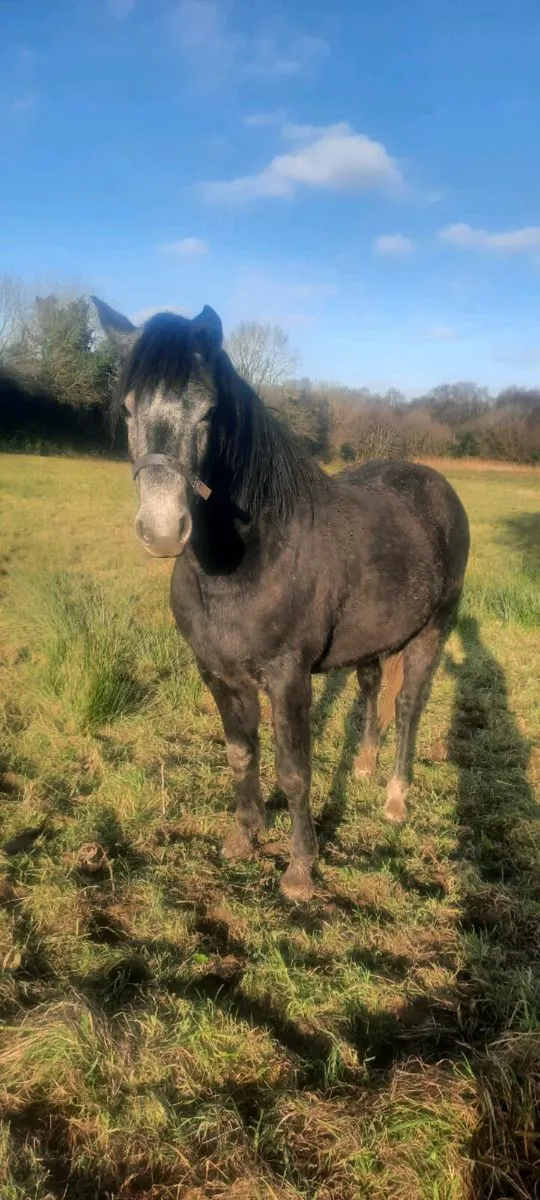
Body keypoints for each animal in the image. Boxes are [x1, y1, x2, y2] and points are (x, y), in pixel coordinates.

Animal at [93, 297, 470, 902]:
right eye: (127, 410)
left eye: (207, 412)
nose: (161, 530)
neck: (248, 560)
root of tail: (437, 487)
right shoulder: (217, 673)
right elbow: (239, 753)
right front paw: (244, 837)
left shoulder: (288, 676)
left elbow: (295, 771)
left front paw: (299, 870)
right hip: (373, 640)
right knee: (371, 689)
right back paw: (365, 767)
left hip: (433, 631)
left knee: (409, 706)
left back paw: (395, 798)